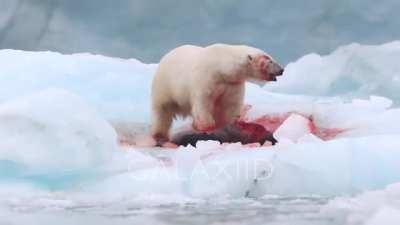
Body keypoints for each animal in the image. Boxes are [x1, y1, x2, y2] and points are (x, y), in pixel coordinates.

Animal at [150, 44, 284, 146]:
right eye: (269, 60)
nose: (282, 69)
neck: (221, 68)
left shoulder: (232, 84)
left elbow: (230, 106)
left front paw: (226, 124)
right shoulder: (205, 79)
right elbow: (203, 103)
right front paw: (207, 127)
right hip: (165, 86)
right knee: (163, 111)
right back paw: (160, 135)